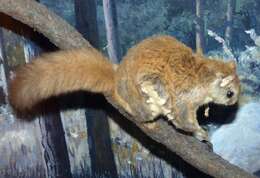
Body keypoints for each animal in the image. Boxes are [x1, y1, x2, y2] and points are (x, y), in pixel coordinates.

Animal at [8, 35, 240, 142]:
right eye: (230, 93)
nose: (234, 102)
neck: (203, 76)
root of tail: (115, 80)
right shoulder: (185, 96)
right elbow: (183, 119)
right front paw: (200, 132)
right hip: (140, 97)